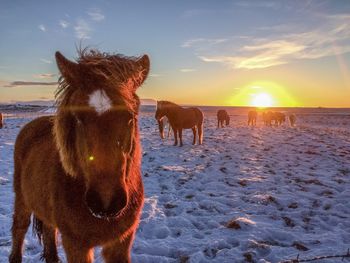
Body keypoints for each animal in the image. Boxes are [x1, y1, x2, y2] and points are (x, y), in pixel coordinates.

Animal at [9, 48, 149, 263]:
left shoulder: (121, 243)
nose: (106, 201)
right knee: (19, 228)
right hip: (22, 199)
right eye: (78, 117)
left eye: (130, 117)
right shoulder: (76, 245)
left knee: (49, 234)